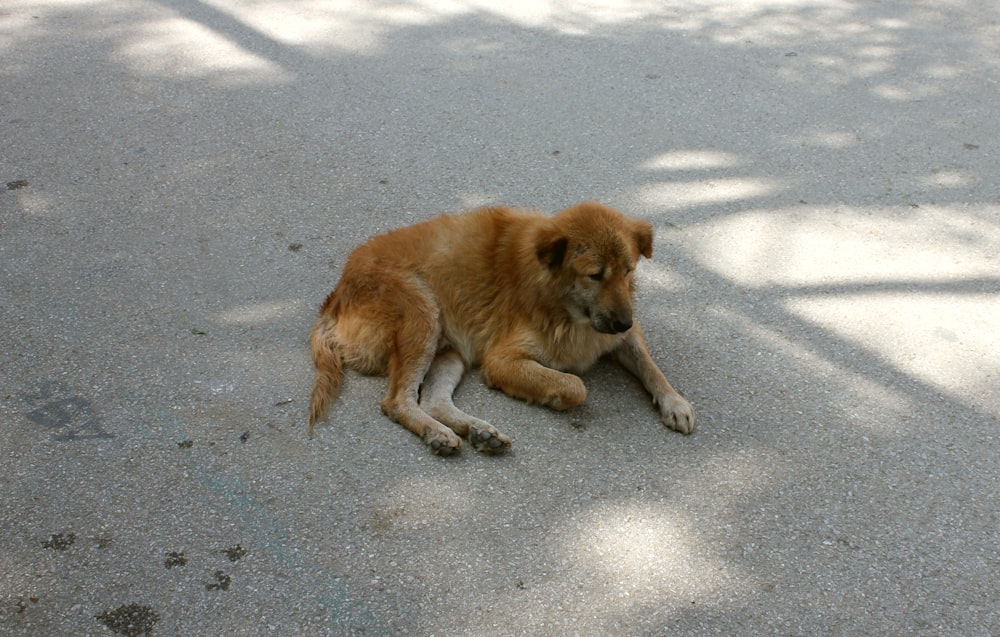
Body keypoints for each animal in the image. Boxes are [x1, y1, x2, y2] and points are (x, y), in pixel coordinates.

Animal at [308, 199, 692, 452]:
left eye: (628, 270)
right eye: (595, 275)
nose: (624, 321)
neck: (562, 304)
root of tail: (335, 295)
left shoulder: (624, 337)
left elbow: (651, 367)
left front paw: (675, 402)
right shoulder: (501, 359)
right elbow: (575, 386)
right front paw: (554, 396)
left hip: (450, 350)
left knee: (433, 401)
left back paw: (478, 432)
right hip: (421, 315)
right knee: (397, 402)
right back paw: (438, 434)